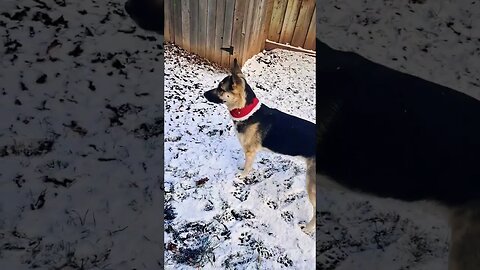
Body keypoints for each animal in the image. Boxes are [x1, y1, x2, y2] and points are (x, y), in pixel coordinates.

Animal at [203, 59, 318, 234]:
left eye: (221, 89)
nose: (203, 94)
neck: (246, 111)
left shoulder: (250, 152)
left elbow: (247, 168)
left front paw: (242, 176)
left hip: (311, 183)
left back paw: (308, 229)